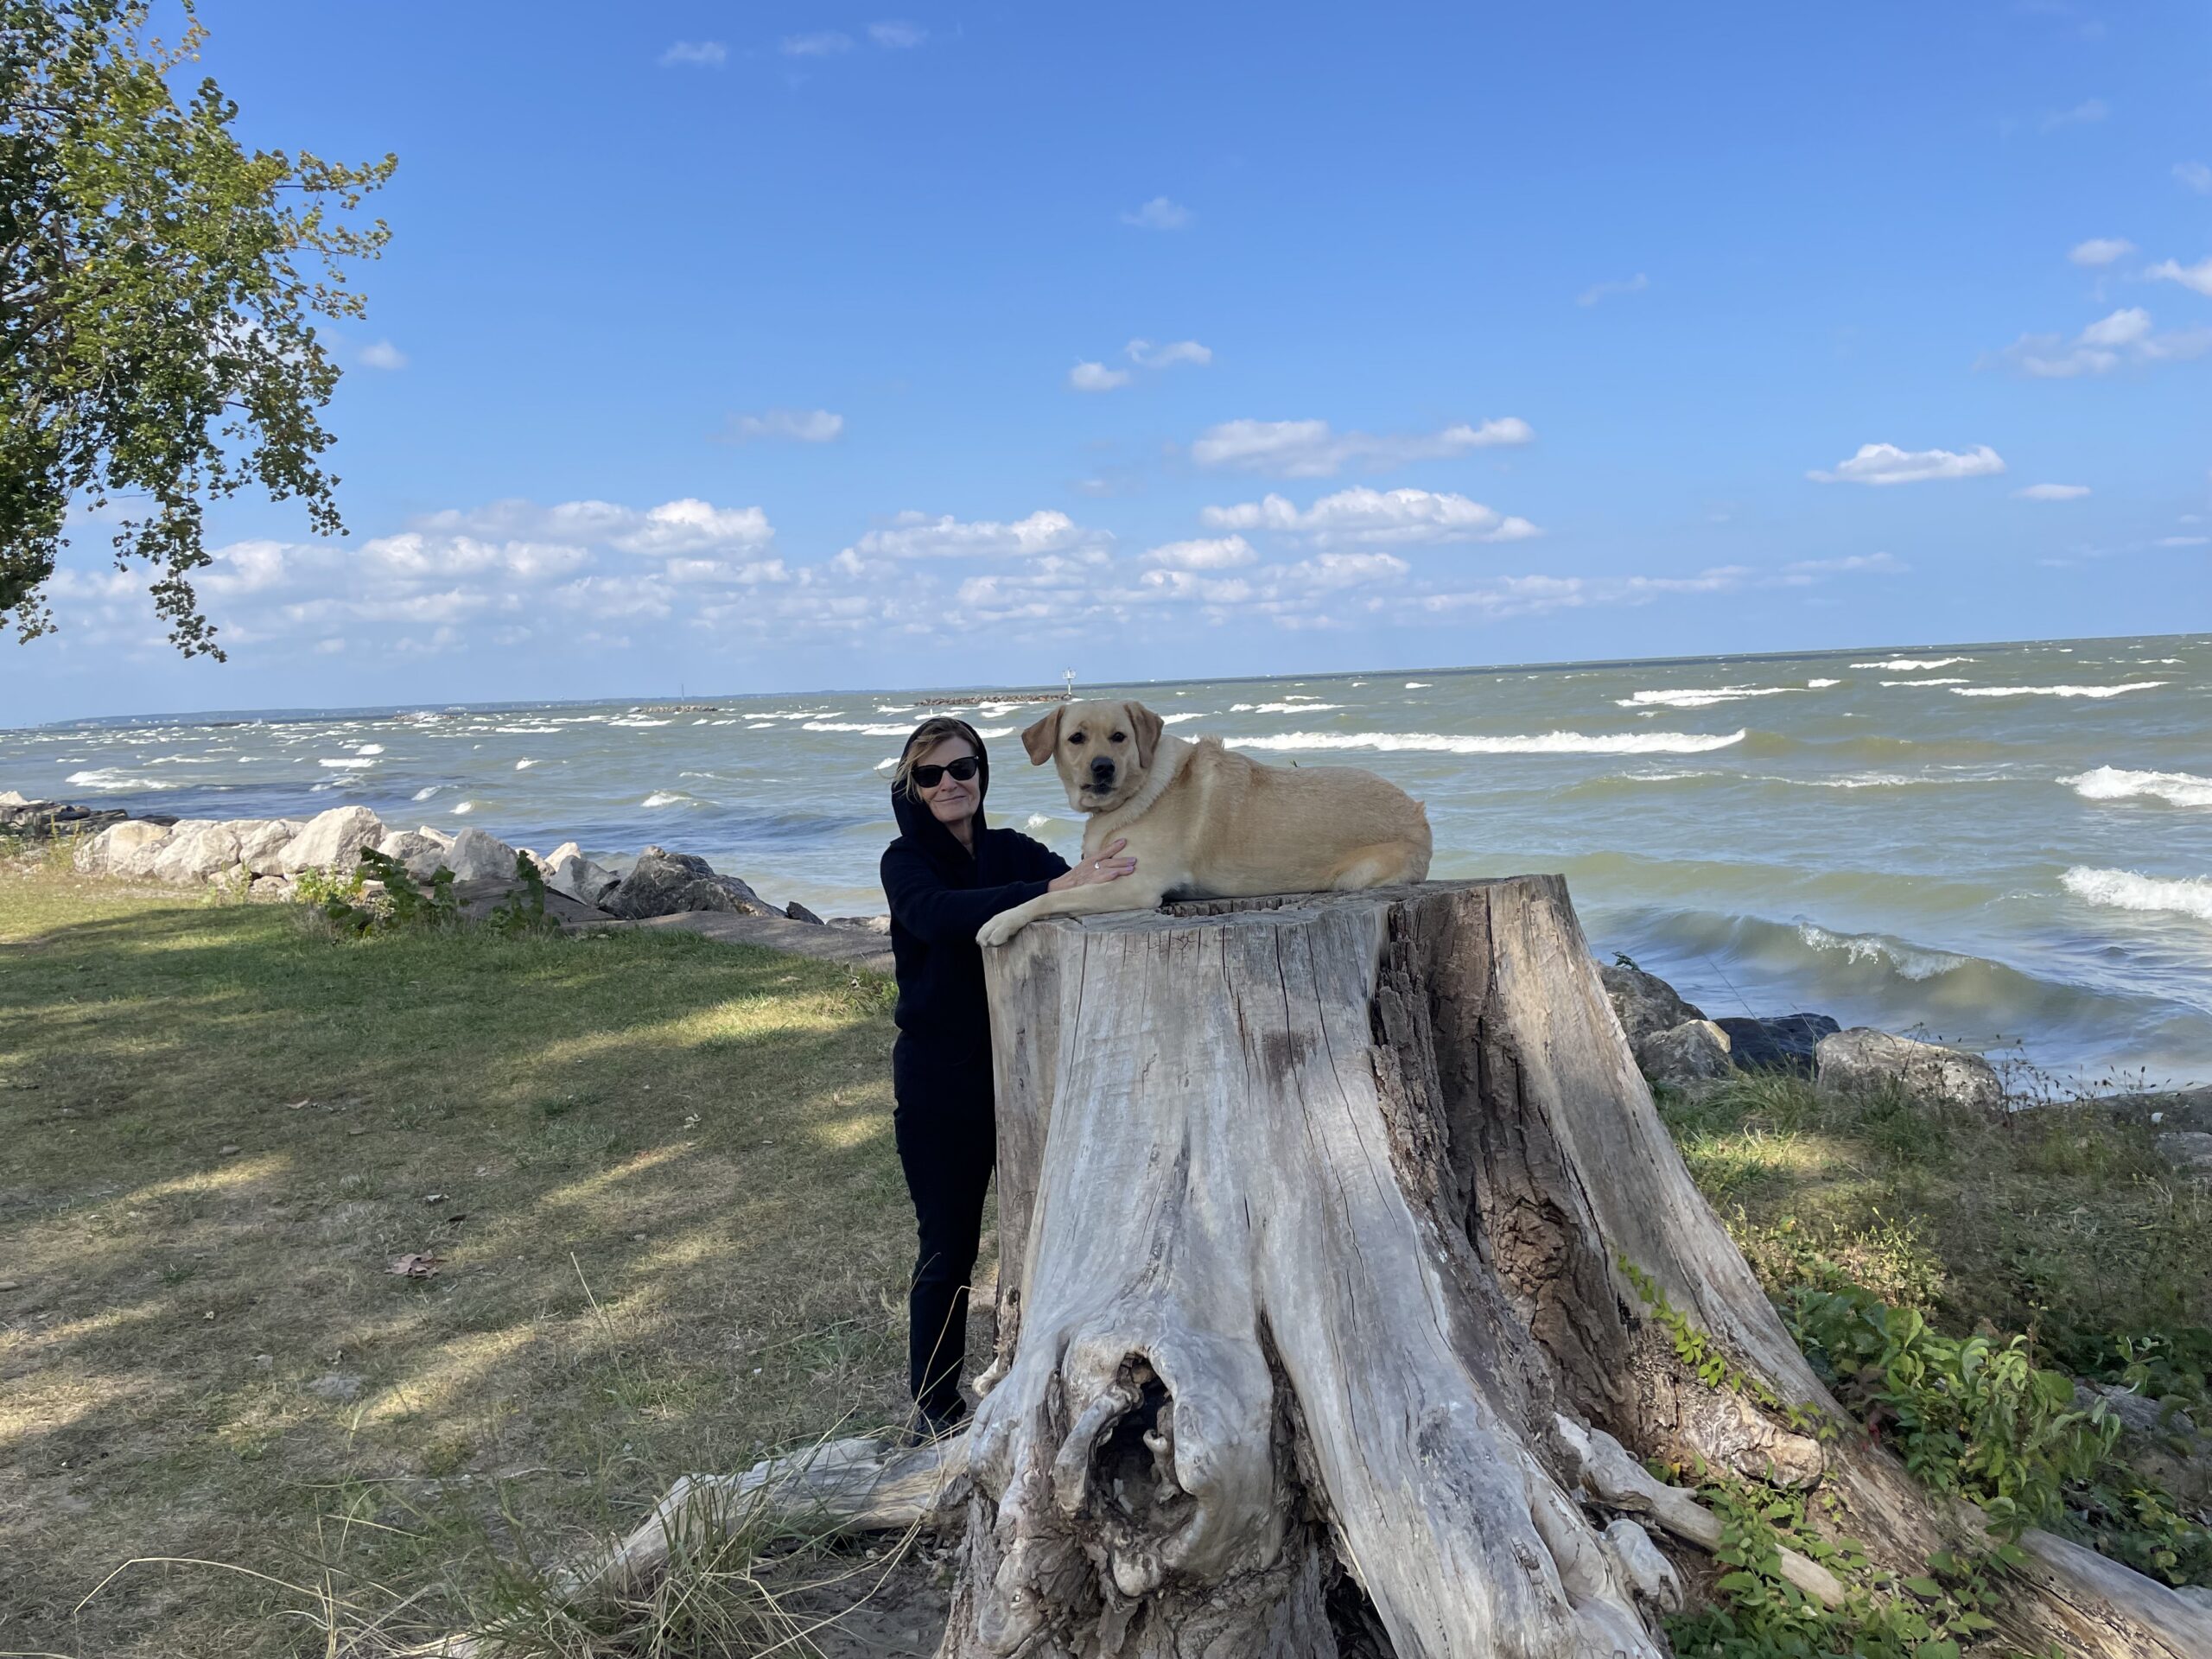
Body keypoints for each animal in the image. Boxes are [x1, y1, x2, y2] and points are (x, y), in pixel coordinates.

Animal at [974, 698, 1432, 947]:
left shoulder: (1134, 887)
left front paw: (1001, 920)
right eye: (1076, 738)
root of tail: (1419, 812)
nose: (1103, 767)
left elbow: (1047, 898)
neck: (1138, 790)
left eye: (1120, 737)